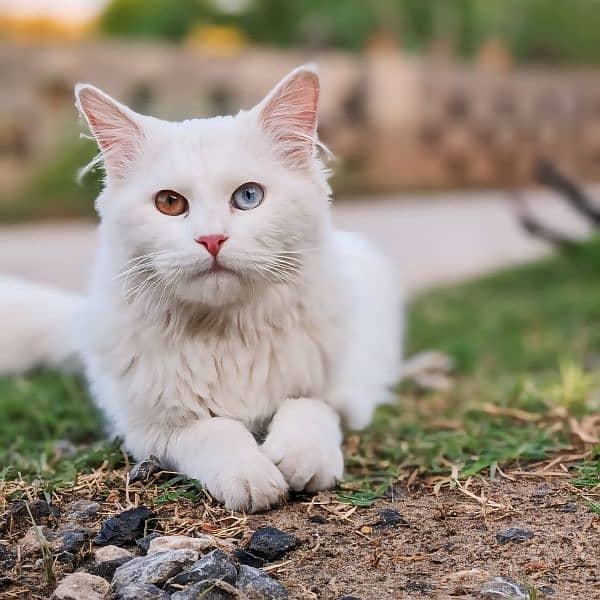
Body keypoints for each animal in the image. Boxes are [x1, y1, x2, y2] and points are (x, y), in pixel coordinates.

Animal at [1, 68, 404, 512]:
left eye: (248, 196)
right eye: (169, 202)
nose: (212, 239)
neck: (227, 335)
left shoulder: (348, 390)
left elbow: (308, 407)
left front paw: (299, 461)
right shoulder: (152, 430)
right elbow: (216, 433)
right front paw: (252, 478)